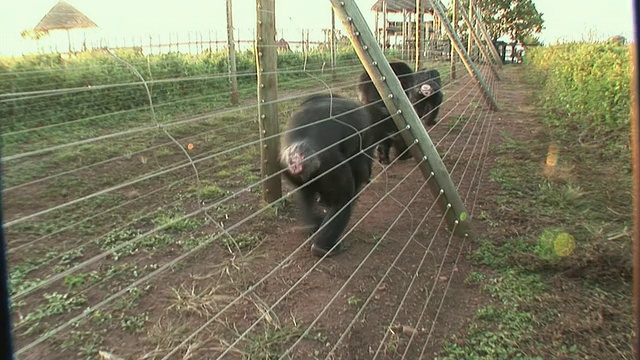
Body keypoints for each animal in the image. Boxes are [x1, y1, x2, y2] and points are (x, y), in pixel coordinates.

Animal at [278, 93, 376, 256]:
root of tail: (296, 157)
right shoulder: (333, 163)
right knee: (343, 199)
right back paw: (323, 246)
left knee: (305, 195)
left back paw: (314, 226)